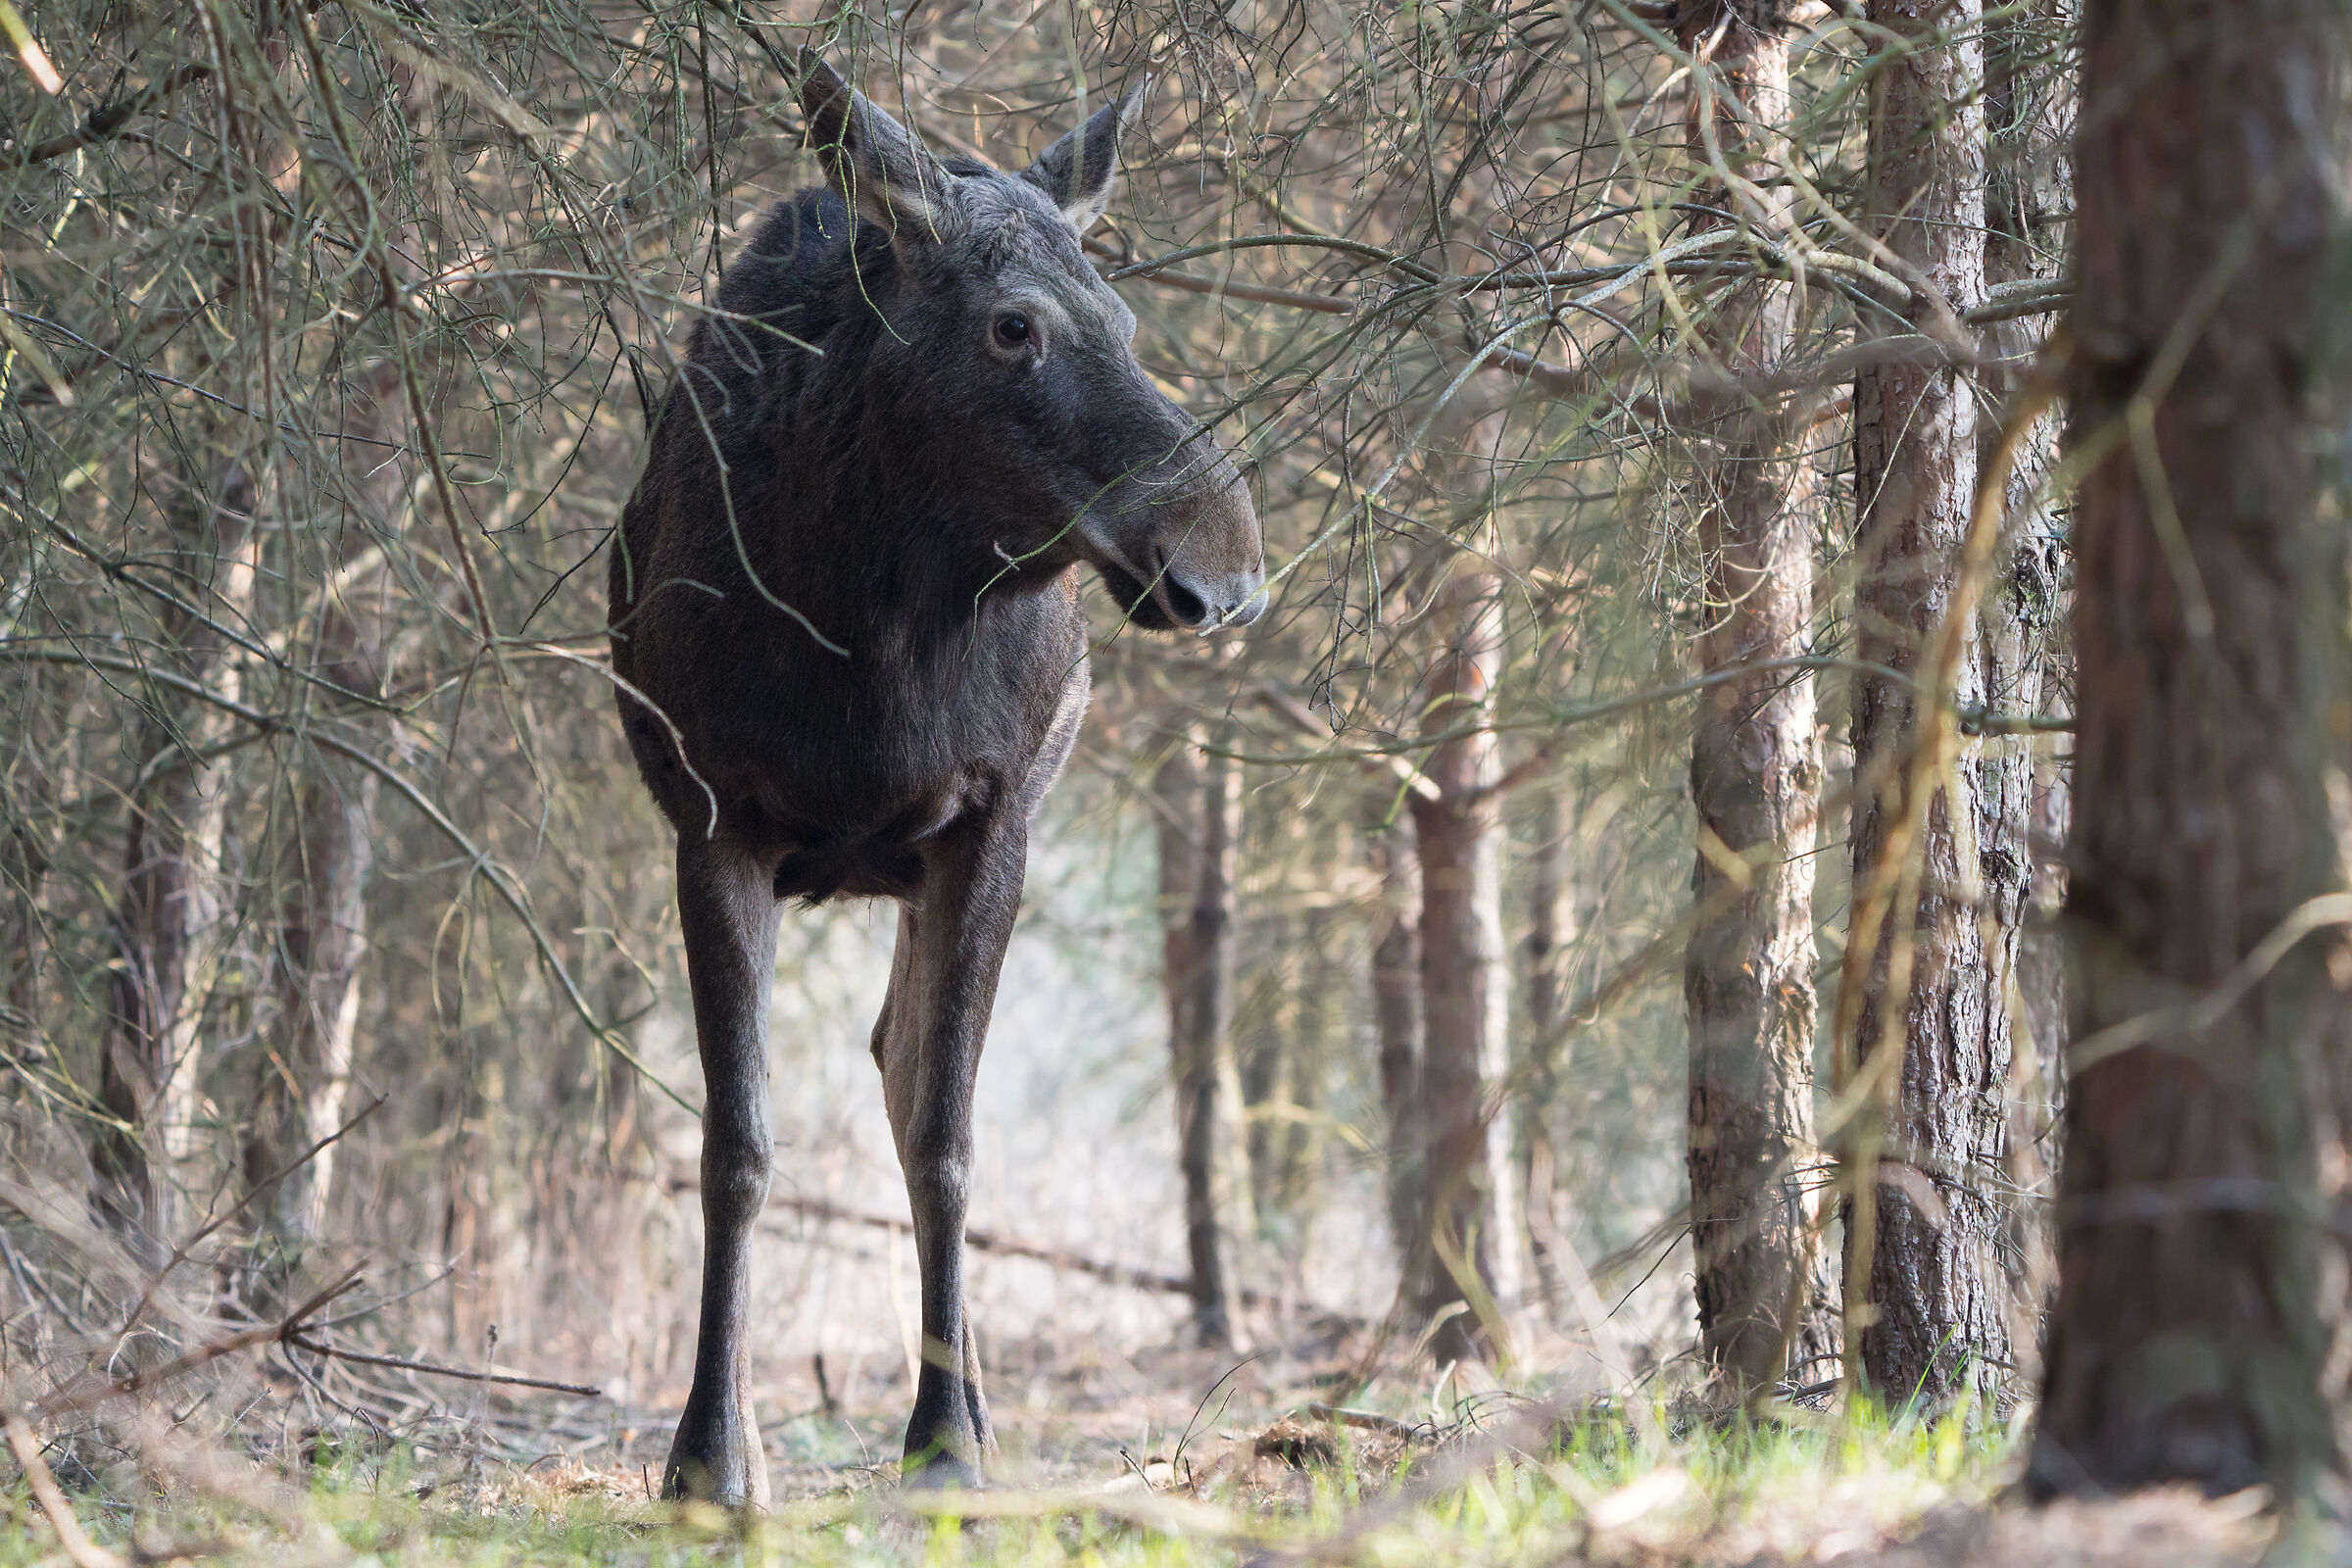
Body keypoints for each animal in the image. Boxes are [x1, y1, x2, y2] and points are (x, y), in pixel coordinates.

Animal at [607, 52, 1265, 1503]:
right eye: (1015, 328)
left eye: (1125, 313)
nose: (1223, 563)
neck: (867, 629)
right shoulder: (714, 823)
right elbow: (737, 1150)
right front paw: (707, 1453)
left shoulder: (991, 821)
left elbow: (944, 1137)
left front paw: (948, 1437)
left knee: (905, 1068)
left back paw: (973, 1400)